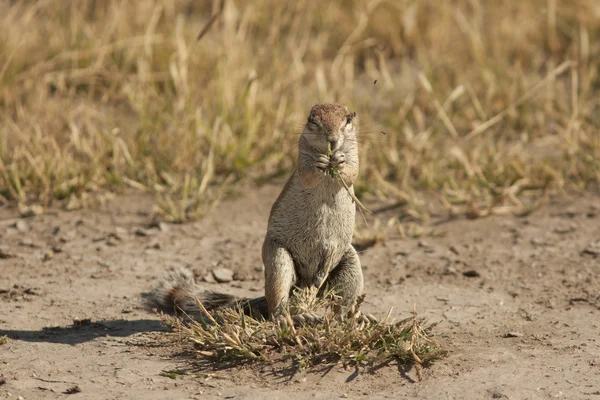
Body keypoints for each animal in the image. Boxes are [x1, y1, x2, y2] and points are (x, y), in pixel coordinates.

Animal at [149, 103, 366, 322]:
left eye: (348, 120)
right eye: (311, 120)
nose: (332, 139)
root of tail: (306, 283)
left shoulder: (355, 154)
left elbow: (352, 171)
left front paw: (340, 160)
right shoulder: (301, 158)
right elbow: (307, 174)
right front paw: (319, 163)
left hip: (350, 266)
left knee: (340, 304)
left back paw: (354, 318)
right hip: (278, 259)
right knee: (277, 303)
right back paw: (294, 317)